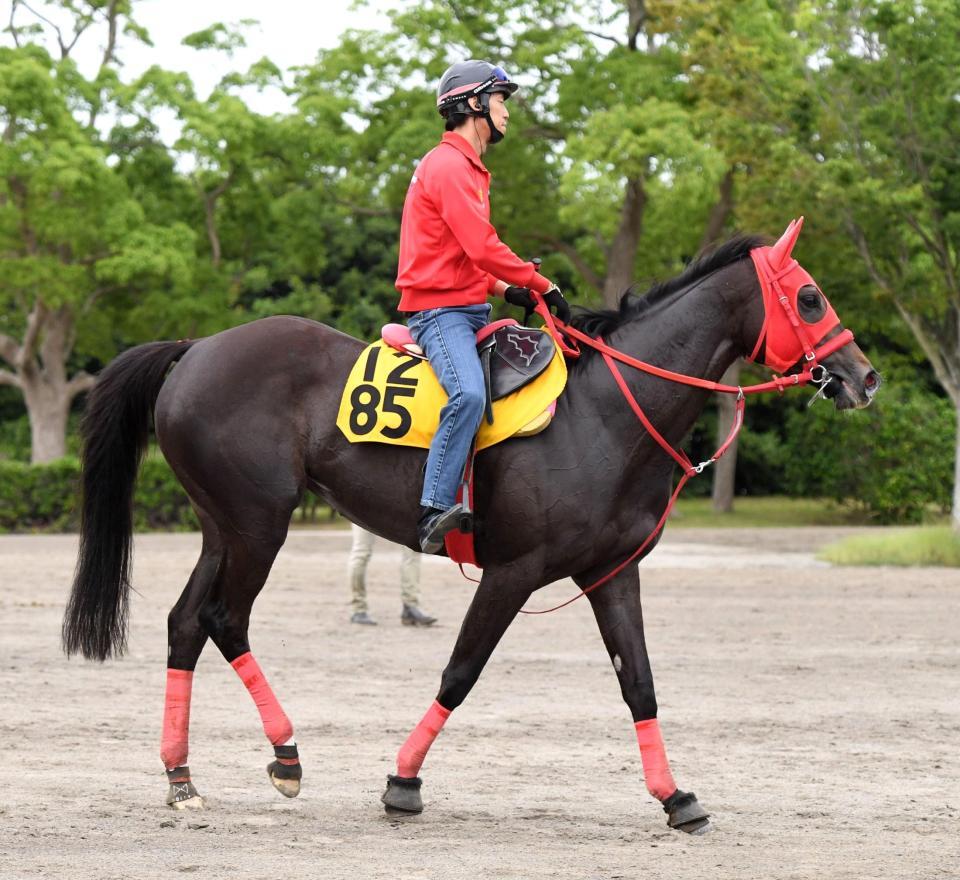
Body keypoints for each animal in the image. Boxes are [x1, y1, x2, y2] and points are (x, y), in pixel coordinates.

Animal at [62, 223, 880, 833]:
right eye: (810, 297)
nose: (863, 377)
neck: (605, 410)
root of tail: (196, 348)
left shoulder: (611, 574)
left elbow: (640, 684)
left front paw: (675, 796)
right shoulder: (514, 571)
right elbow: (461, 671)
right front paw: (402, 780)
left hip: (223, 528)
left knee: (185, 624)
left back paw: (181, 776)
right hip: (259, 527)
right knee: (224, 619)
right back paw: (286, 753)